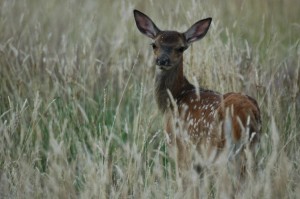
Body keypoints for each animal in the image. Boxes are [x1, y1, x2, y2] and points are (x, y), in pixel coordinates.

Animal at [133, 9, 260, 194]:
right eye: (154, 45)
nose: (162, 60)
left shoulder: (181, 148)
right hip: (250, 150)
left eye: (181, 48)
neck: (173, 100)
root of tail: (246, 114)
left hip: (219, 152)